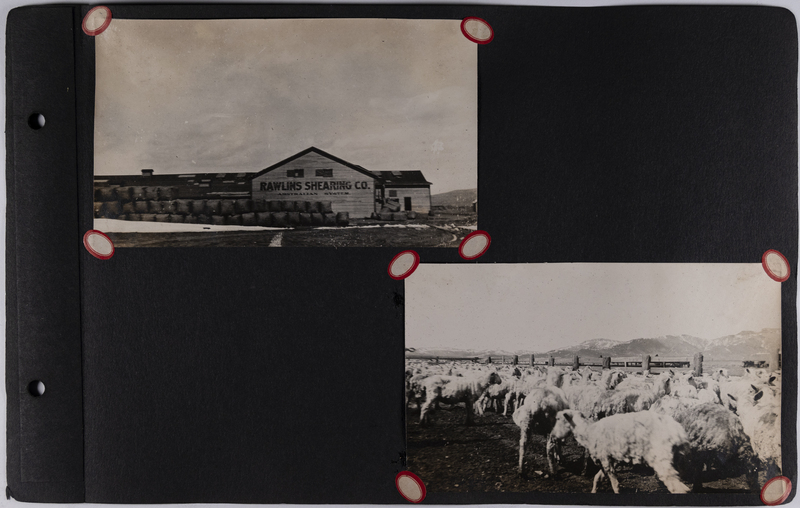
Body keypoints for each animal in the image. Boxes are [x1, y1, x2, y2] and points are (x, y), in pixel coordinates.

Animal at [552, 410, 692, 494]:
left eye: (558, 419)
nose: (553, 436)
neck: (588, 431)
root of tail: (677, 431)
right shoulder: (610, 460)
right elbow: (598, 478)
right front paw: (593, 491)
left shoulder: (605, 459)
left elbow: (615, 484)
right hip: (677, 460)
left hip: (661, 459)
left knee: (678, 488)